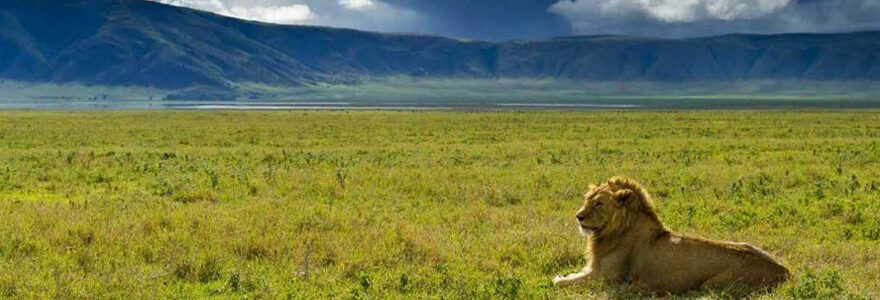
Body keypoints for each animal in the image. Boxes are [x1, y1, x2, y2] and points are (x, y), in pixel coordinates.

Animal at [552, 177, 792, 294]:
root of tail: (783, 270)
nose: (579, 217)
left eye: (599, 203)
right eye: (587, 199)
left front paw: (558, 279)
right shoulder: (594, 270)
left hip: (712, 285)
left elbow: (563, 283)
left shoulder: (607, 278)